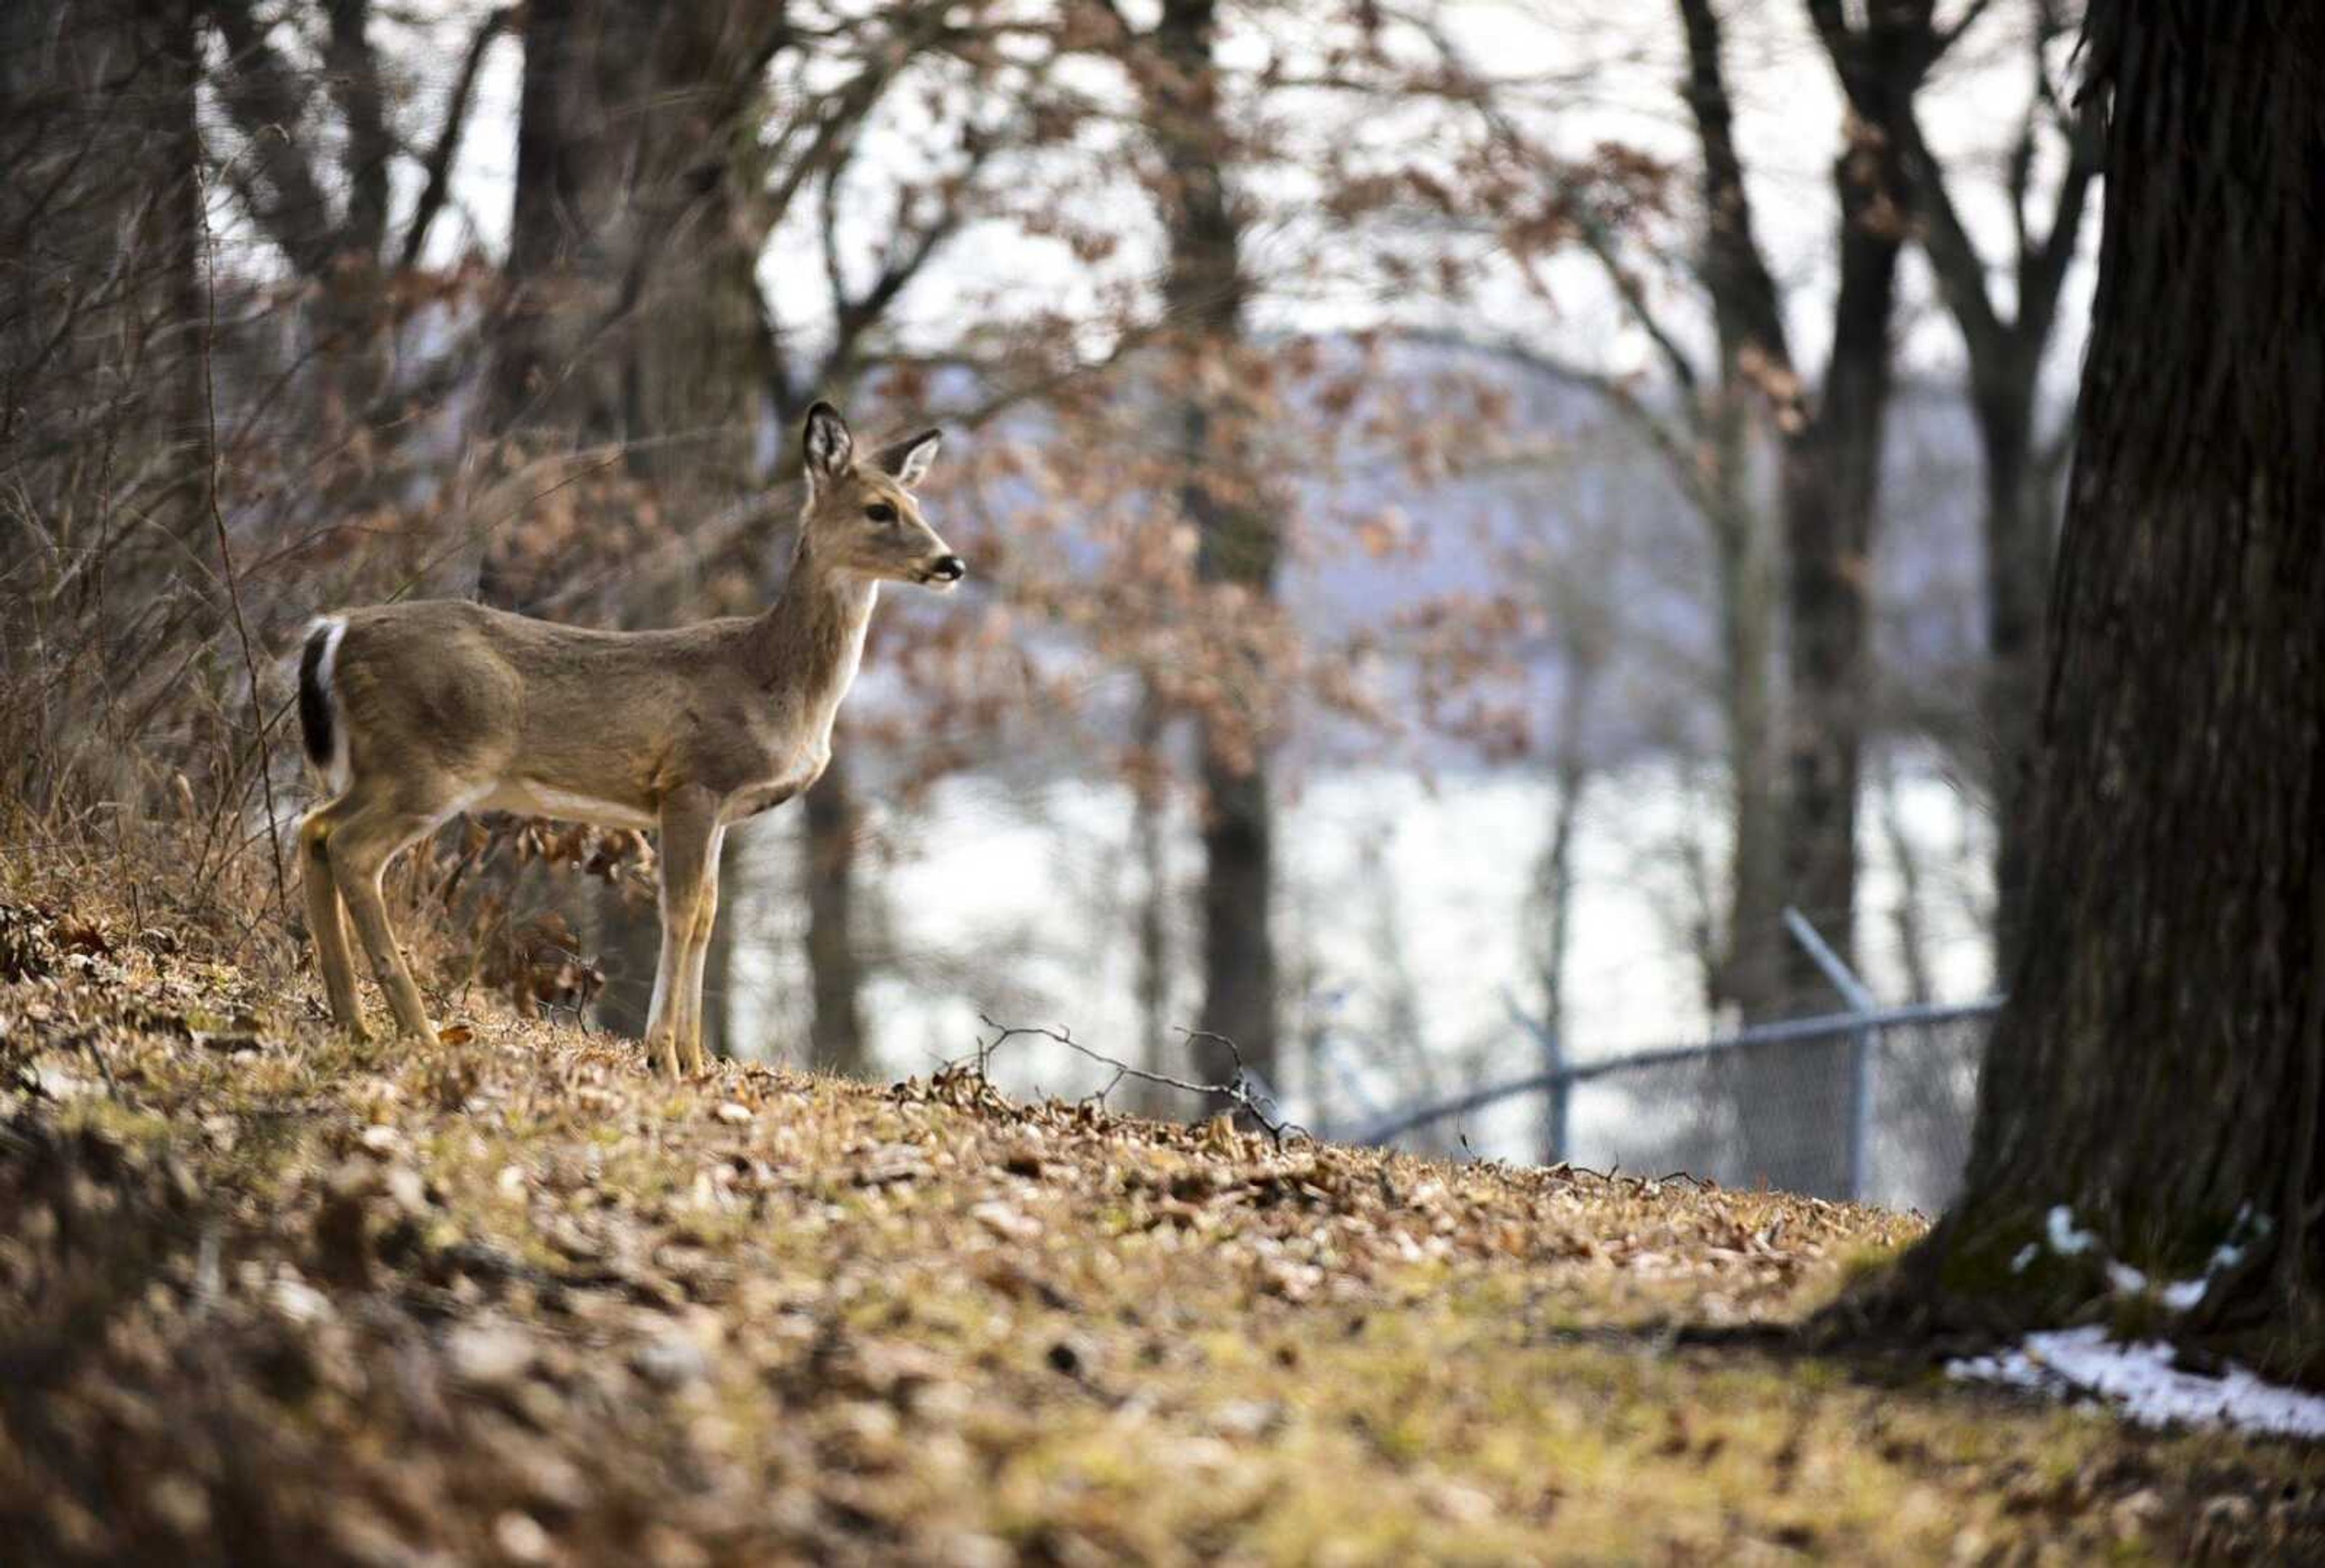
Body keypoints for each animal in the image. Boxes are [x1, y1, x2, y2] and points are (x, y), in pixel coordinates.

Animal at [292, 398, 962, 1070]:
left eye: (917, 503)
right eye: (879, 509)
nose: (950, 563)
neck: (771, 677)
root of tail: (333, 631)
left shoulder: (721, 806)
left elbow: (708, 914)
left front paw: (694, 1059)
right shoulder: (692, 780)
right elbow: (682, 910)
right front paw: (665, 1055)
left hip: (381, 766)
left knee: (314, 828)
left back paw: (354, 1020)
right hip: (429, 763)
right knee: (352, 848)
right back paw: (419, 1030)